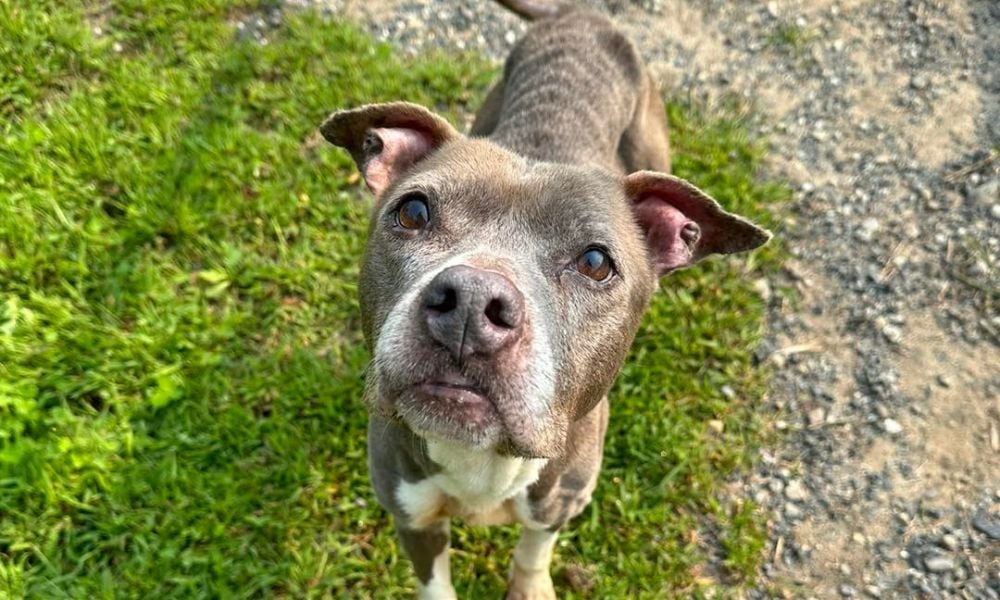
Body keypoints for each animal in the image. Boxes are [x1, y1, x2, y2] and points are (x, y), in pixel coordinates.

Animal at [316, 2, 768, 596]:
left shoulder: (560, 503)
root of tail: (581, 13)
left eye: (596, 263)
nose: (470, 303)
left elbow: (533, 549)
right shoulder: (410, 514)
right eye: (412, 212)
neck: (481, 461)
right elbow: (434, 579)